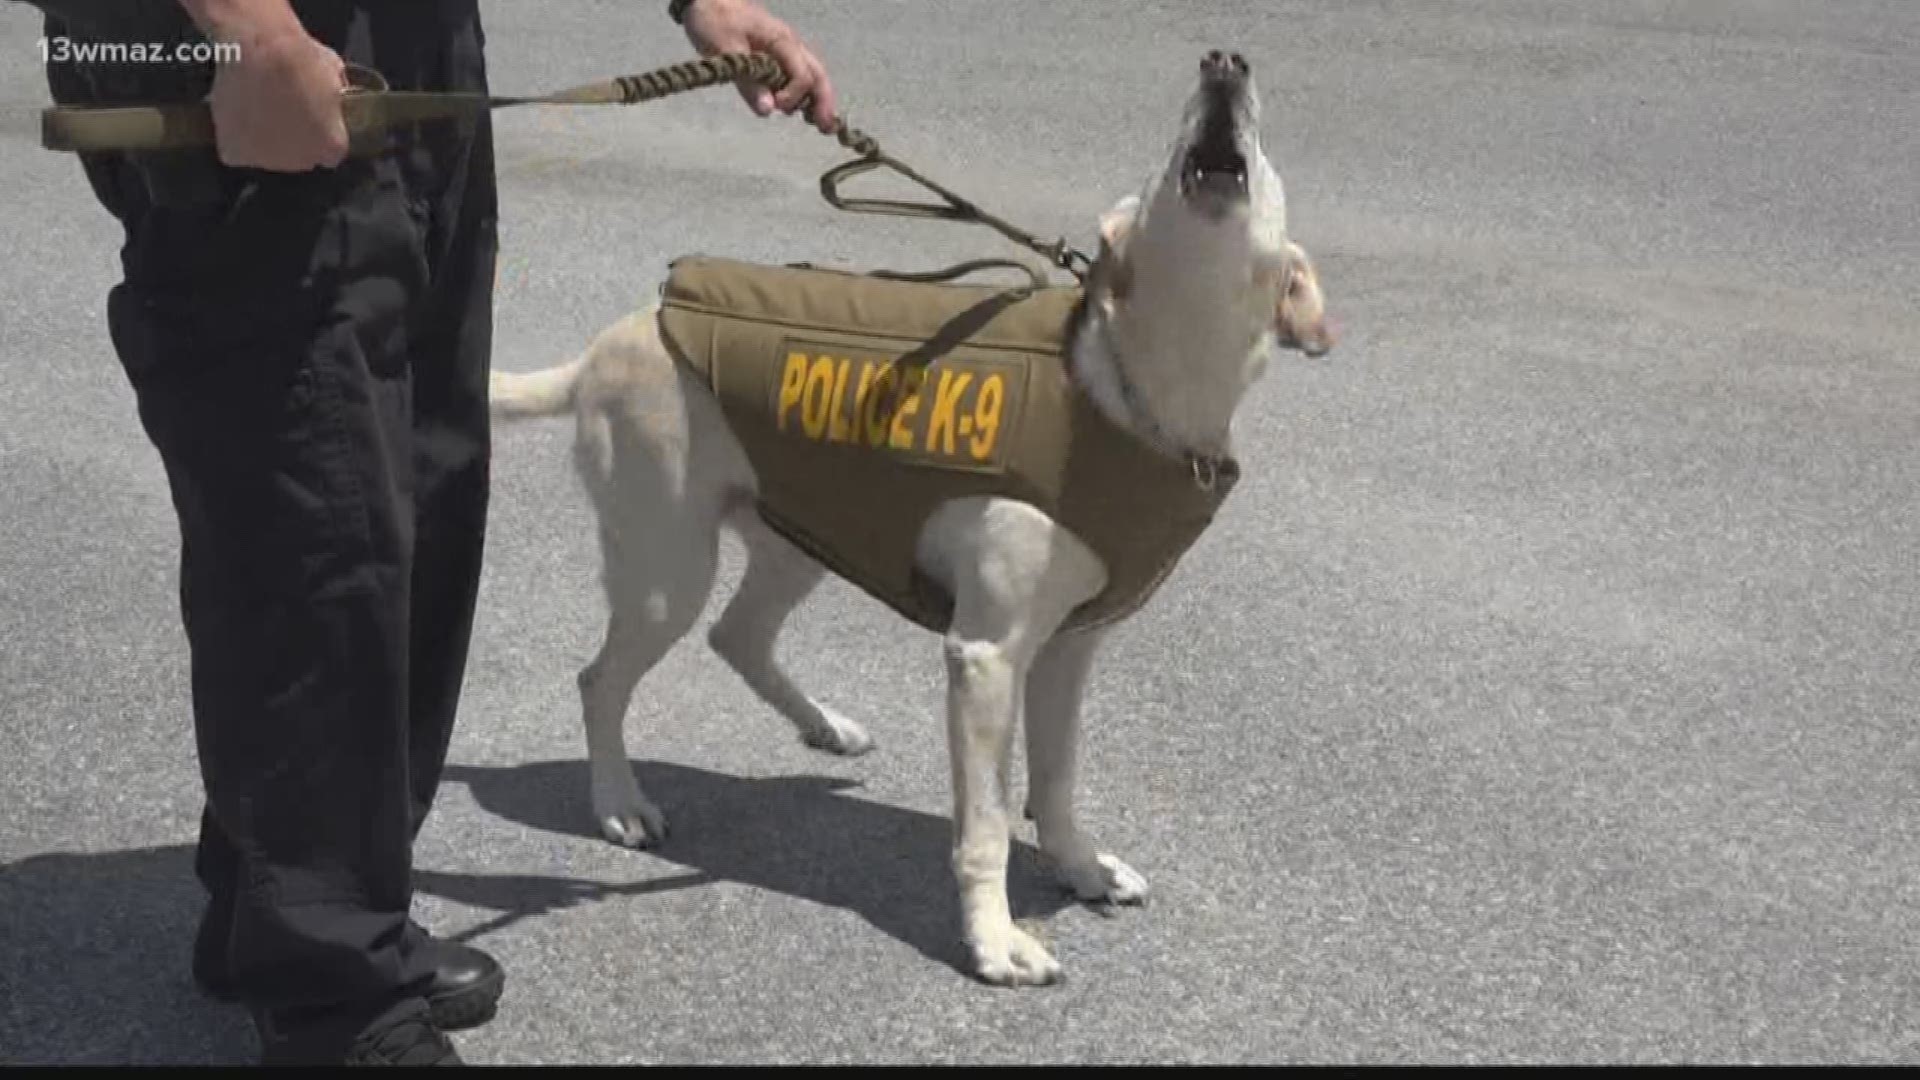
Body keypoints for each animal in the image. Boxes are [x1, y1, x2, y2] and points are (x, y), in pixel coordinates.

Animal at [491, 54, 1336, 991]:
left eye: (1263, 158)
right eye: (1165, 153)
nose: (1225, 64)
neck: (1137, 391)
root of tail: (604, 347)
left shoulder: (1069, 649)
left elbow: (1059, 781)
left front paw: (1080, 866)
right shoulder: (987, 655)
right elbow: (988, 826)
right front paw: (995, 939)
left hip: (801, 529)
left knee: (736, 636)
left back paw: (822, 726)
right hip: (666, 570)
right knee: (601, 680)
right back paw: (620, 802)